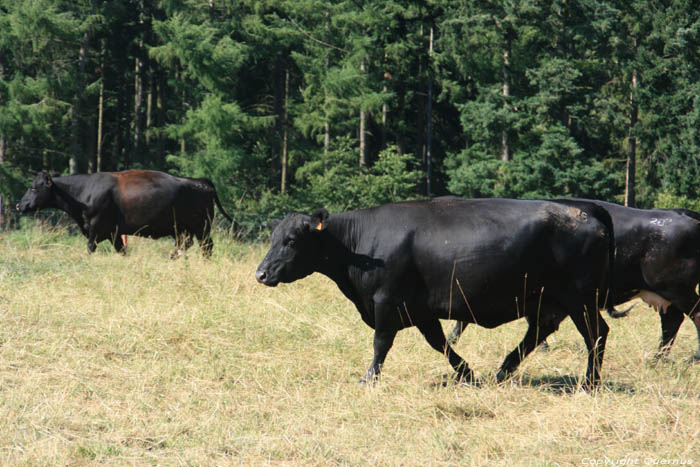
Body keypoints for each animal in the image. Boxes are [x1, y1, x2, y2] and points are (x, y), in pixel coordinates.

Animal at [15, 171, 232, 256]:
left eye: (33, 188)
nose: (19, 205)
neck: (84, 191)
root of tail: (200, 181)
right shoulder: (115, 233)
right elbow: (122, 251)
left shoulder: (96, 229)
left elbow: (90, 248)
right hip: (182, 229)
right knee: (185, 245)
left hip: (201, 227)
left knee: (206, 247)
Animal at [258, 199, 612, 390]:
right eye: (273, 237)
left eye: (291, 240)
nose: (260, 274)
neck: (359, 246)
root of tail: (583, 208)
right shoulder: (420, 310)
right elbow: (438, 342)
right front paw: (467, 373)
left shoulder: (386, 302)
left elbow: (380, 344)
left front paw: (368, 378)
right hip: (550, 300)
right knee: (537, 334)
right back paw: (503, 370)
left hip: (580, 298)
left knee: (595, 334)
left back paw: (590, 383)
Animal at [448, 199, 700, 360]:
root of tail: (685, 215)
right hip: (668, 294)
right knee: (671, 322)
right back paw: (658, 358)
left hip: (677, 289)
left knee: (691, 316)